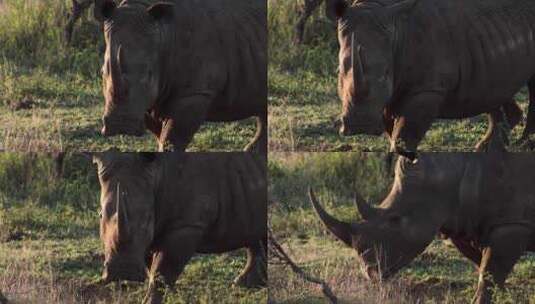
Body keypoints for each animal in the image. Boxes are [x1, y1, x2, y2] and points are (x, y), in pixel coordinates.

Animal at [93, 153, 268, 302]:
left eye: (148, 218)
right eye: (100, 215)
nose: (123, 271)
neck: (157, 175)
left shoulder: (186, 225)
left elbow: (161, 271)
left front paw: (154, 299)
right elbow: (152, 267)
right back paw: (245, 284)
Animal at [95, 0, 266, 152]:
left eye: (149, 74)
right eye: (102, 72)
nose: (120, 125)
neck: (162, 34)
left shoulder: (194, 93)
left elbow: (172, 137)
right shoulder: (152, 97)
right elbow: (160, 135)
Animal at [310, 152, 535, 304]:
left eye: (395, 220)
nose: (370, 271)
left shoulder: (510, 223)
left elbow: (488, 275)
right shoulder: (466, 221)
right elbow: (485, 268)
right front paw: (507, 296)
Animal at [330, 0, 535, 152]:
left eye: (386, 73)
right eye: (339, 71)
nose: (360, 126)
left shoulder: (427, 89)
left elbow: (404, 134)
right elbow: (391, 129)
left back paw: (524, 145)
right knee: (492, 83)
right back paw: (488, 147)